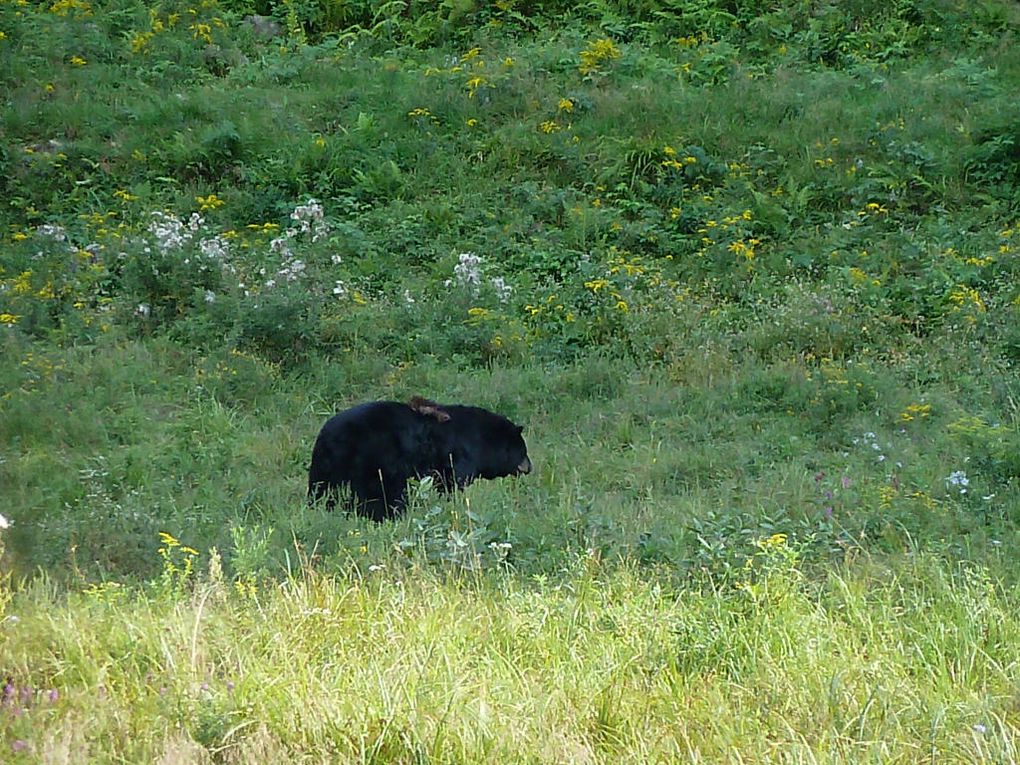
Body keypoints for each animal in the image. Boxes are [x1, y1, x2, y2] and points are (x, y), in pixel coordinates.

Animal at [306, 397, 534, 526]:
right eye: (523, 450)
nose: (530, 467)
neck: (482, 440)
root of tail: (326, 435)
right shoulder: (457, 457)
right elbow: (452, 483)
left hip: (326, 468)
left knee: (322, 490)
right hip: (373, 462)